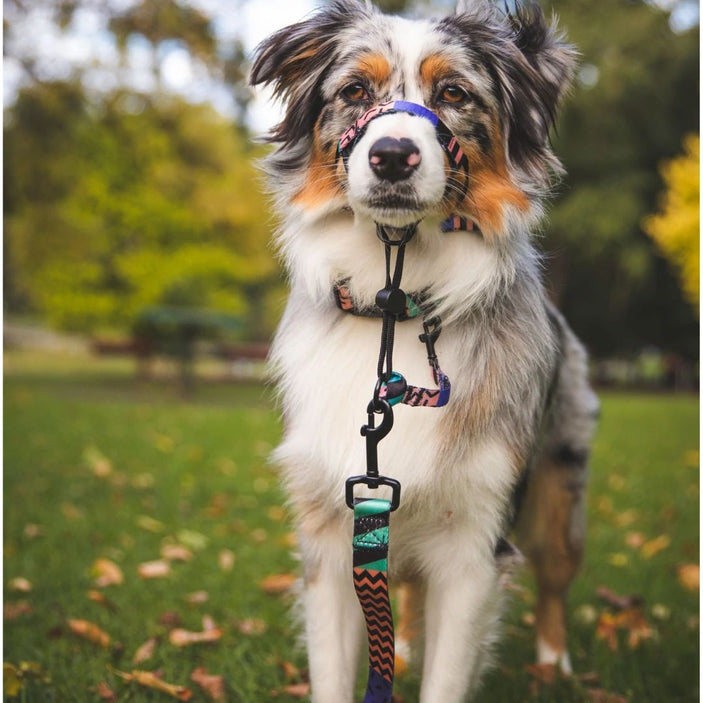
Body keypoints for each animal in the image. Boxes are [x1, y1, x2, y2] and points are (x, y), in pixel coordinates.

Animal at [250, 2, 596, 700]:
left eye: (455, 94)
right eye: (356, 92)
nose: (391, 155)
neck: (395, 305)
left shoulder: (473, 545)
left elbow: (448, 673)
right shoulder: (332, 534)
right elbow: (336, 670)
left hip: (556, 492)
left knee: (553, 581)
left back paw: (552, 661)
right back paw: (403, 647)